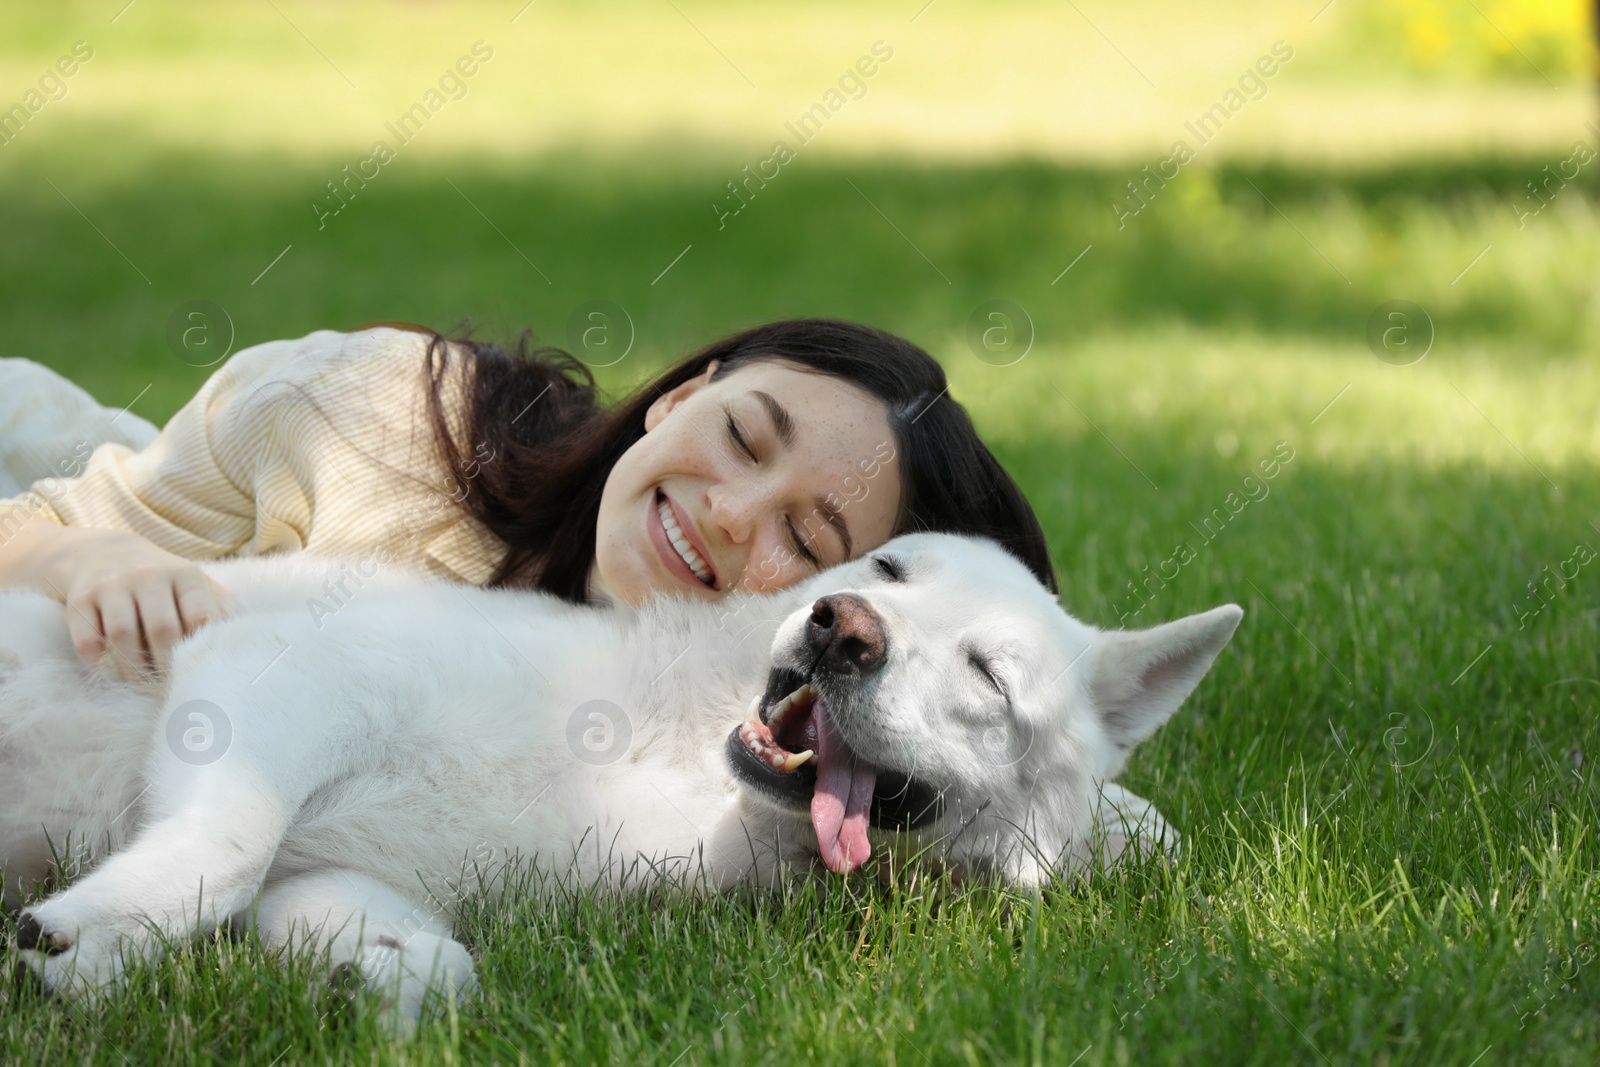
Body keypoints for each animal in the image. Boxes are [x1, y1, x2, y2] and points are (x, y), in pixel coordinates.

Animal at [0, 534, 1241, 1023]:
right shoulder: (270, 676)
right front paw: (90, 936)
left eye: (986, 671)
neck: (681, 770)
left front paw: (361, 981)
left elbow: (436, 962)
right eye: (891, 568)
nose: (843, 628)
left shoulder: (338, 869)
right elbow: (226, 843)